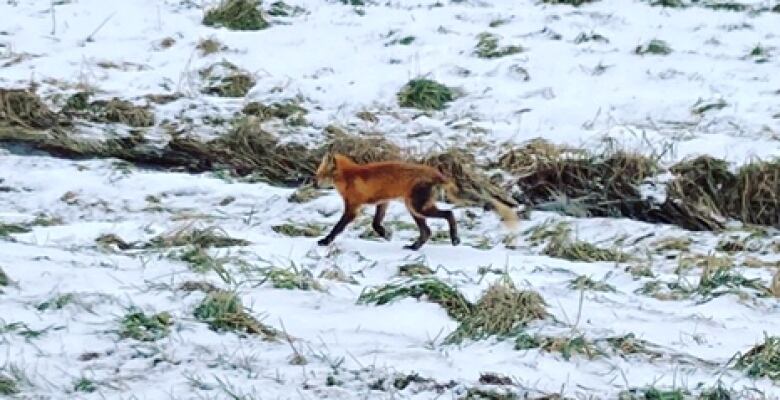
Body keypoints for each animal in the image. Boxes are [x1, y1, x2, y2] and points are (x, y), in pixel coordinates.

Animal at [310, 153, 516, 250]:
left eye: (319, 175)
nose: (313, 183)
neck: (349, 176)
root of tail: (436, 172)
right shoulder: (383, 201)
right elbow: (376, 223)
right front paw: (386, 234)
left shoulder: (352, 208)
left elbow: (337, 227)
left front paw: (325, 241)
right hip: (415, 210)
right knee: (427, 232)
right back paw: (414, 247)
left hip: (417, 208)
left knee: (448, 214)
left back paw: (454, 238)